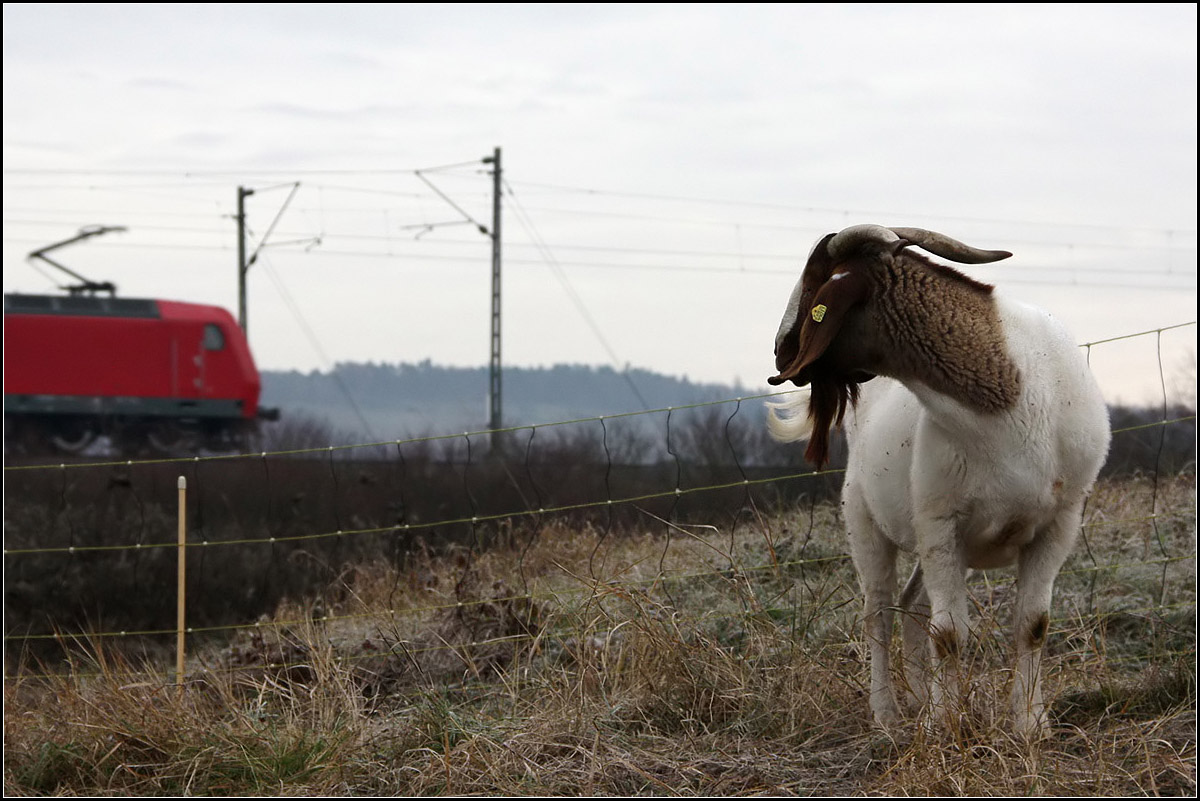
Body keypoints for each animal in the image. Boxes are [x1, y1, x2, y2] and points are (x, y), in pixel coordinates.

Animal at [766, 224, 1110, 740]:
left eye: (814, 284)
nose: (780, 351)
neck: (1010, 401)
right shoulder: (940, 523)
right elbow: (949, 634)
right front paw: (945, 727)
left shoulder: (1060, 523)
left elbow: (1033, 625)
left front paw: (1029, 725)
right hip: (865, 522)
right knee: (878, 613)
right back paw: (887, 713)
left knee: (911, 605)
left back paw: (917, 701)